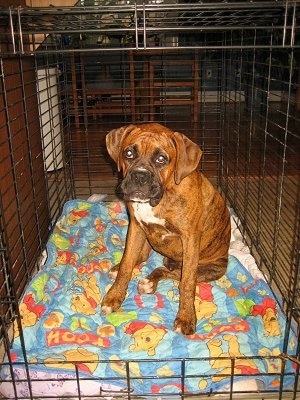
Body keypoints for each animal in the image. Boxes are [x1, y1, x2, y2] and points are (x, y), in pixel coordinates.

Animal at [102, 123, 231, 336]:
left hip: (213, 269)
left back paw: (150, 282)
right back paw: (120, 269)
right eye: (128, 153)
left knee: (173, 273)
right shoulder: (135, 228)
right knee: (144, 258)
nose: (140, 175)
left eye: (161, 159)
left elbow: (187, 283)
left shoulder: (190, 240)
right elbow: (127, 264)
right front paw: (114, 296)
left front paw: (186, 317)